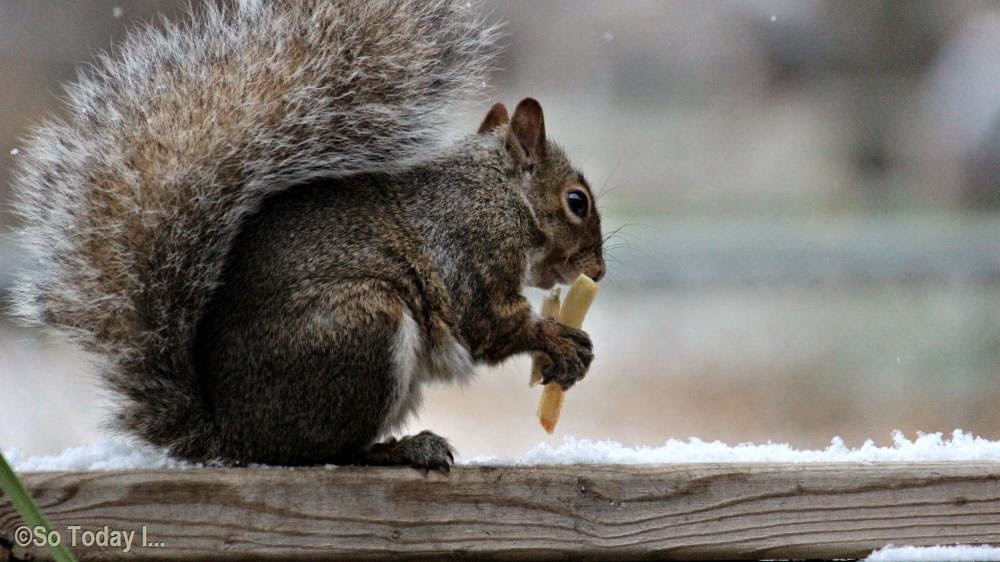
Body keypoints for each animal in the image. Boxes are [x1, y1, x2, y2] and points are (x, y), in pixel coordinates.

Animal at [9, 0, 605, 471]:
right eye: (576, 201)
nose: (597, 270)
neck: (498, 193)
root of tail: (235, 435)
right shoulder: (470, 250)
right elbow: (492, 323)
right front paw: (561, 341)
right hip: (363, 328)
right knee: (332, 451)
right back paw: (402, 449)